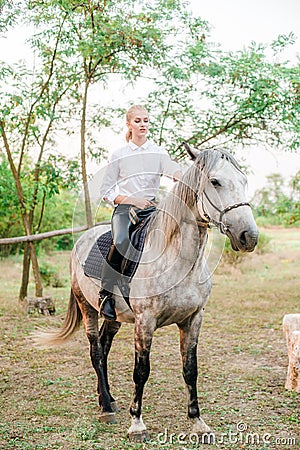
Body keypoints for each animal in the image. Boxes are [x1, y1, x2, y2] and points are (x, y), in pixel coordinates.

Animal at [34, 147, 258, 440]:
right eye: (215, 181)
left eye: (243, 181)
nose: (248, 236)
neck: (178, 259)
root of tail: (81, 240)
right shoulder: (145, 322)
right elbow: (141, 371)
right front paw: (137, 424)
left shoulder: (194, 319)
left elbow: (190, 369)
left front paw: (197, 422)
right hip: (87, 308)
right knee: (96, 351)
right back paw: (106, 408)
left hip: (114, 317)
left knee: (104, 347)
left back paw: (106, 398)